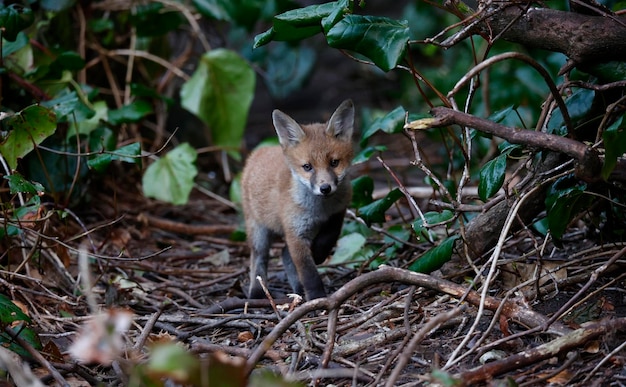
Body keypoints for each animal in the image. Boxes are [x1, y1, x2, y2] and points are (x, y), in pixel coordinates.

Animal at [241, 99, 354, 300]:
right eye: (307, 167)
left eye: (334, 163)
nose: (325, 188)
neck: (320, 209)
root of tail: (257, 153)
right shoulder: (296, 233)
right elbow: (308, 272)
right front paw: (317, 298)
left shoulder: (337, 213)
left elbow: (330, 236)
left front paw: (318, 254)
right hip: (258, 232)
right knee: (259, 259)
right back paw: (257, 293)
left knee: (284, 254)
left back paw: (298, 290)